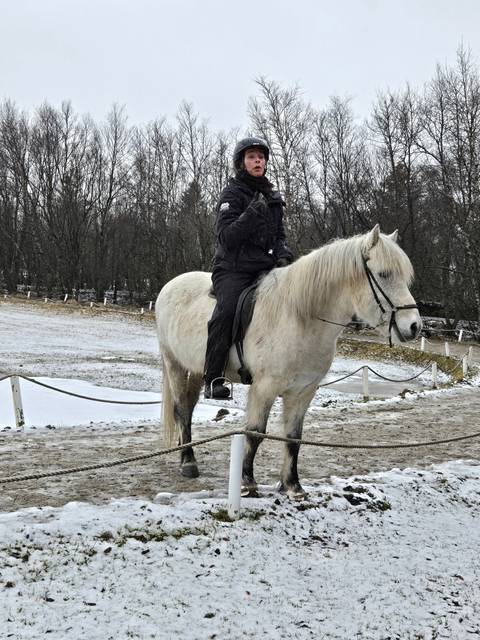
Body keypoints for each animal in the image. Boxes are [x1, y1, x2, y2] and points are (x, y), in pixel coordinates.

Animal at [155, 225, 421, 499]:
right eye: (384, 274)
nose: (414, 326)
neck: (299, 317)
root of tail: (171, 285)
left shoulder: (303, 391)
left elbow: (294, 437)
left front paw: (292, 485)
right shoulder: (264, 388)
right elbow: (255, 433)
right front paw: (248, 482)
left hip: (198, 371)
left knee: (188, 410)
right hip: (174, 364)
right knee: (181, 410)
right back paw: (188, 462)